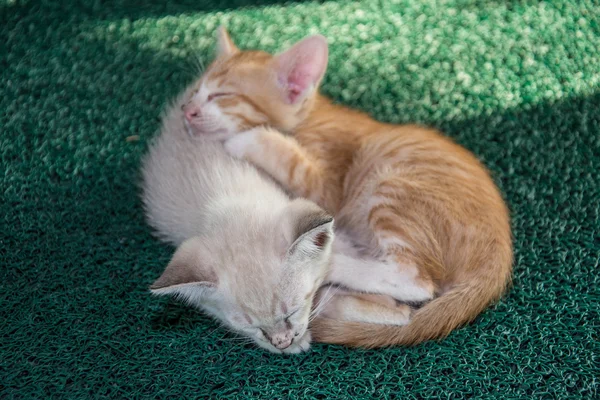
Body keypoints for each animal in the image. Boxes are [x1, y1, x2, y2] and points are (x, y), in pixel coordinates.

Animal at [185, 28, 512, 346]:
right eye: (195, 91)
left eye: (221, 94)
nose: (187, 111)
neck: (309, 119)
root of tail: (497, 260)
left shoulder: (326, 186)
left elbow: (284, 156)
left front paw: (243, 139)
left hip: (390, 186)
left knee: (416, 281)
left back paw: (333, 263)